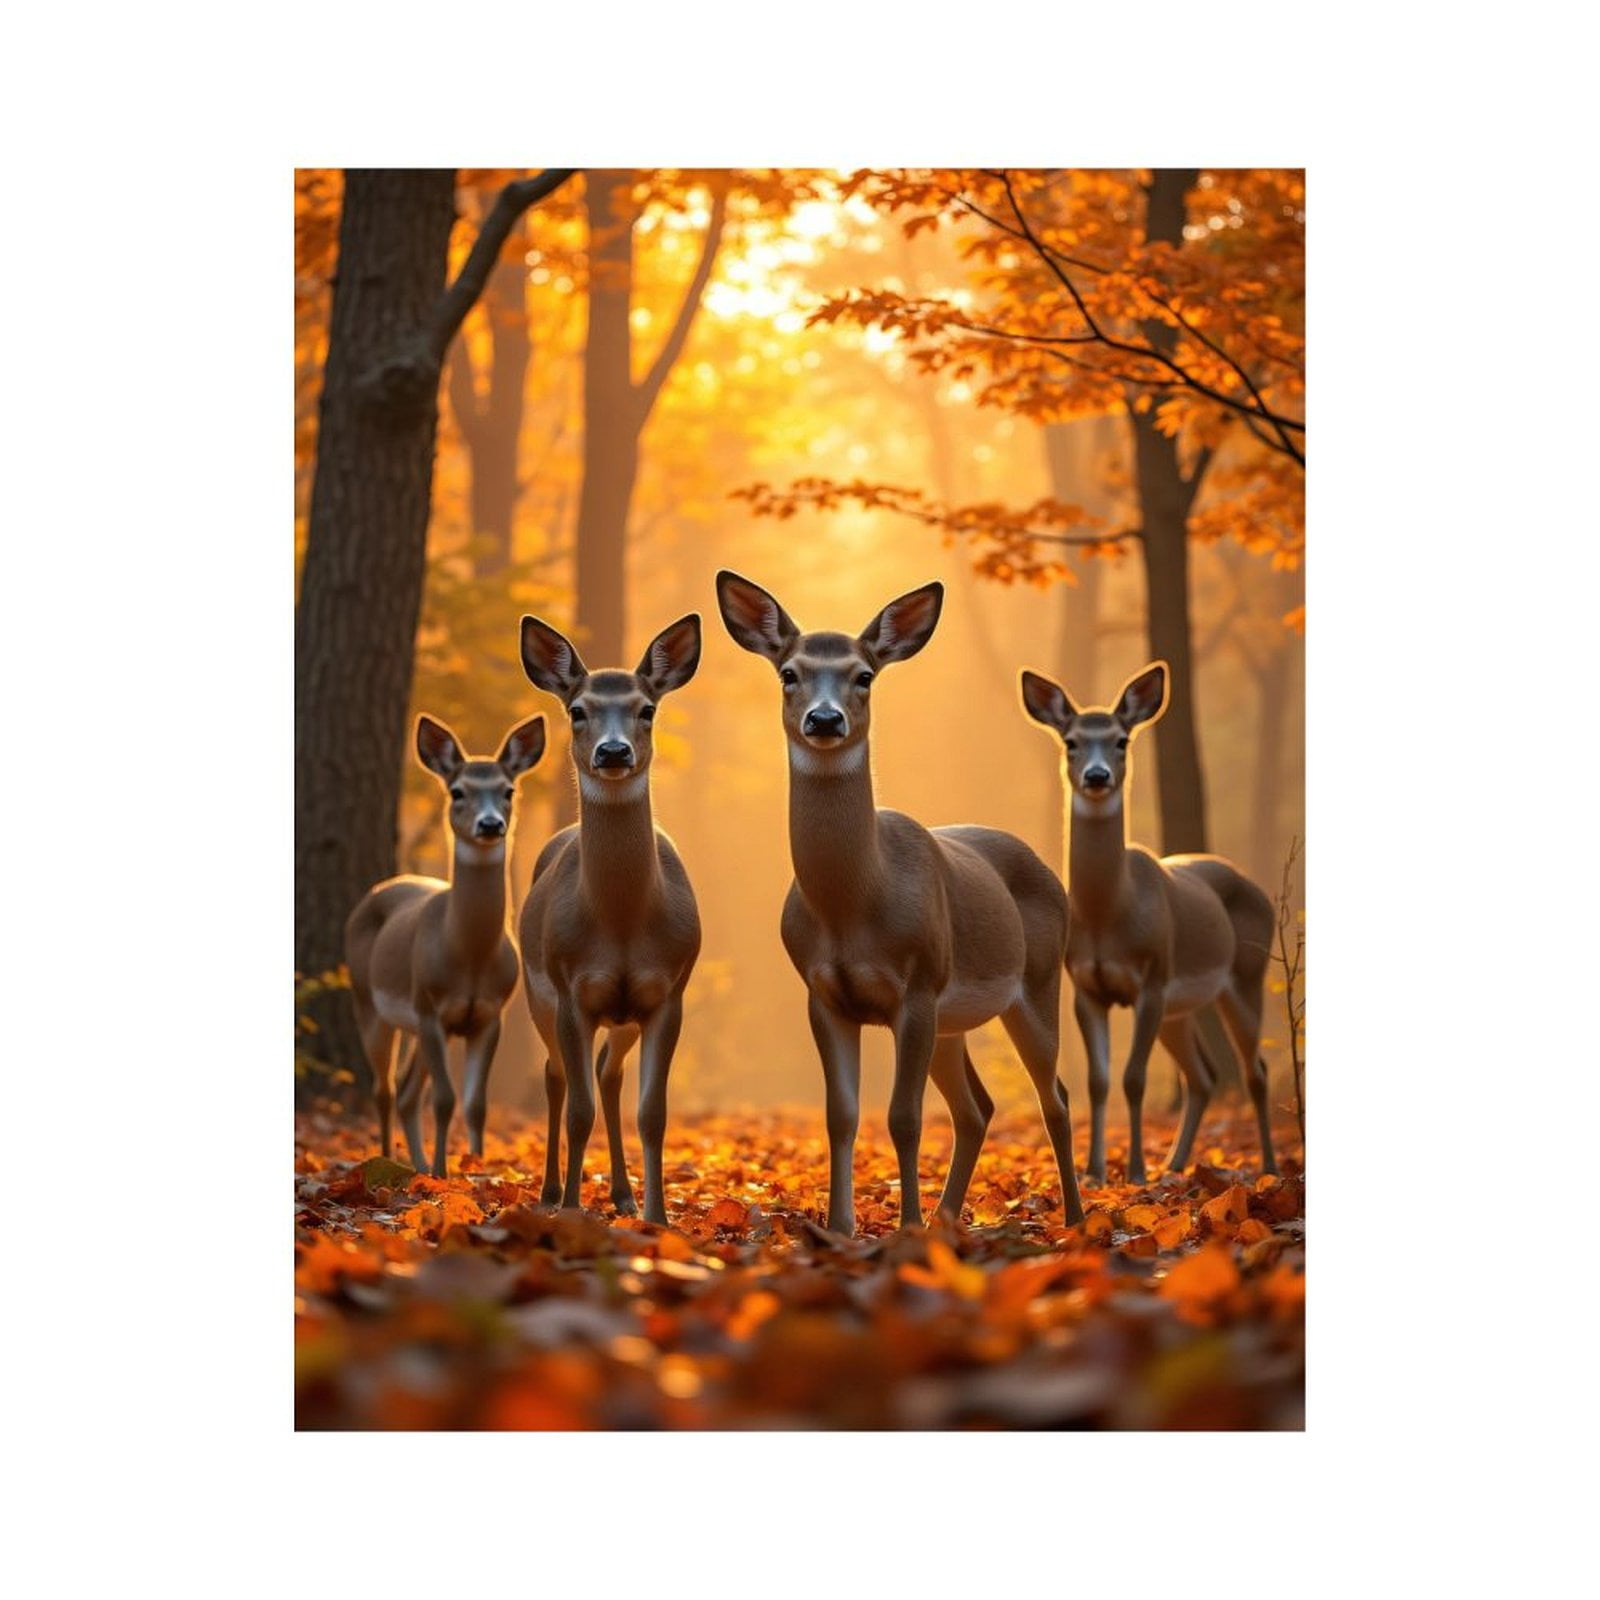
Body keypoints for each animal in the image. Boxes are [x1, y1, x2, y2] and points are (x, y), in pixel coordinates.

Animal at [345, 713, 548, 1177]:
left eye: (508, 790)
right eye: (458, 791)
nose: (489, 824)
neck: (469, 956)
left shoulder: (489, 1015)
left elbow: (475, 1104)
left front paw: (476, 1168)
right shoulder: (431, 1008)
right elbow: (443, 1100)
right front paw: (443, 1173)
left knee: (405, 1092)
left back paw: (416, 1165)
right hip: (369, 1001)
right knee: (384, 1088)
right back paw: (389, 1160)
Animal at [517, 612, 703, 1225]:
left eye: (647, 709)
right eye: (578, 709)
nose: (614, 752)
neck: (621, 925)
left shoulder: (668, 992)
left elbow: (653, 1112)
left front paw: (658, 1218)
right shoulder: (571, 989)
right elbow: (579, 1111)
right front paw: (573, 1211)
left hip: (620, 1017)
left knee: (606, 1074)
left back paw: (622, 1194)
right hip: (537, 991)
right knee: (555, 1077)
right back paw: (551, 1192)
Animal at [717, 570, 1086, 1237]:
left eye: (864, 674)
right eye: (789, 673)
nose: (825, 719)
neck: (854, 905)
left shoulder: (916, 986)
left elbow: (903, 1117)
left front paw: (905, 1228)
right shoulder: (823, 994)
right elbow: (841, 1115)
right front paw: (842, 1228)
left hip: (1036, 983)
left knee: (1056, 1098)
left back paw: (1072, 1218)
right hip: (953, 1022)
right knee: (977, 1108)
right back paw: (948, 1218)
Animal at [1019, 661, 1280, 1186]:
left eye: (1122, 740)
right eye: (1071, 741)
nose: (1097, 776)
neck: (1108, 914)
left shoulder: (1152, 979)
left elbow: (1133, 1079)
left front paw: (1135, 1171)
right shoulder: (1086, 987)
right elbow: (1099, 1081)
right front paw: (1097, 1172)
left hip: (1245, 975)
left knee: (1255, 1070)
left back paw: (1265, 1166)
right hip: (1181, 1010)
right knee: (1203, 1076)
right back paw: (1175, 1166)